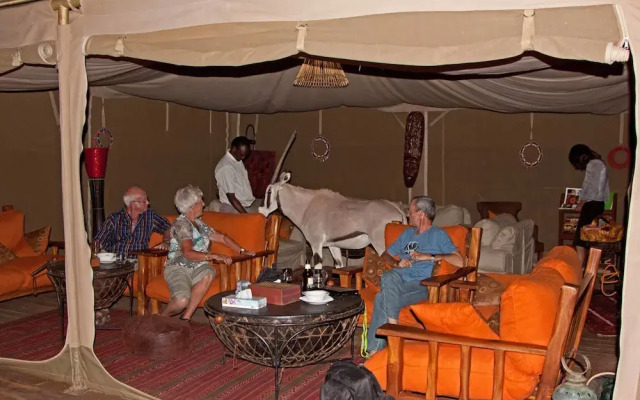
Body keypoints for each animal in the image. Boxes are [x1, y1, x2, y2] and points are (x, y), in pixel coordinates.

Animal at [258, 172, 404, 268]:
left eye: (269, 191)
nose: (261, 210)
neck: (307, 206)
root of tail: (396, 208)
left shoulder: (316, 244)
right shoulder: (333, 246)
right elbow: (339, 266)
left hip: (381, 246)